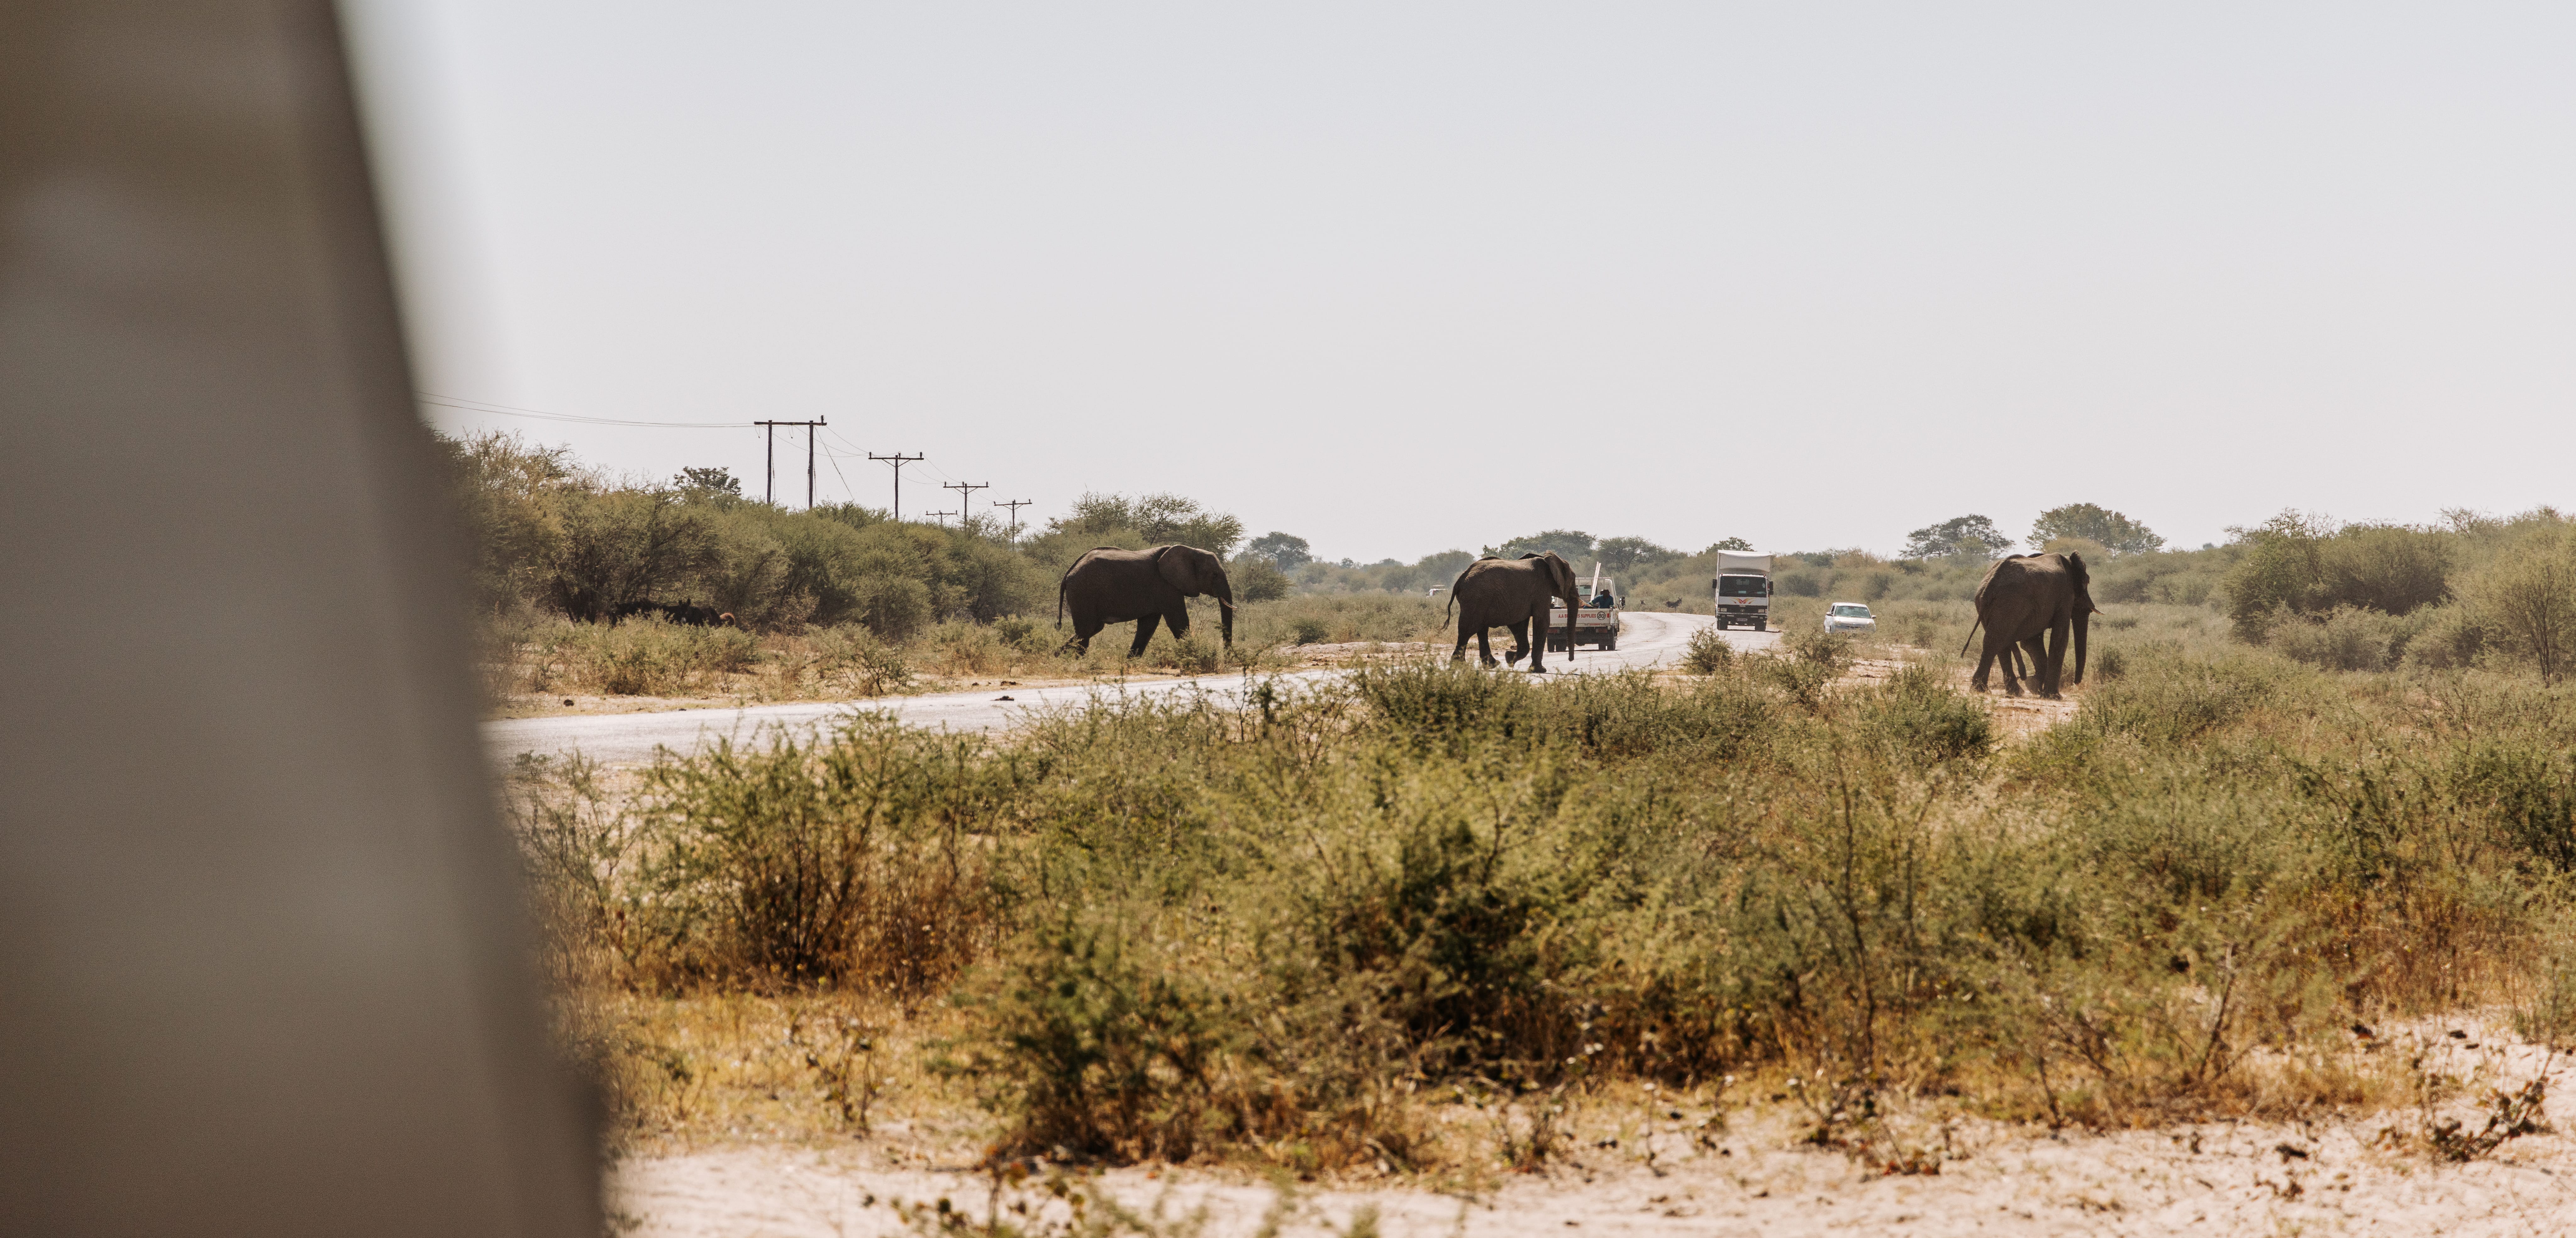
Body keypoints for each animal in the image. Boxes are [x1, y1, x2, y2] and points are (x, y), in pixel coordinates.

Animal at [1055, 544, 1236, 657]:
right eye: (1215, 575)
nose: (1227, 658)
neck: (1191, 550)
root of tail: (1068, 573)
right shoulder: (1166, 585)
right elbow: (1179, 622)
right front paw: (1195, 657)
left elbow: (1148, 626)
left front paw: (1131, 662)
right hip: (1083, 593)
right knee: (1087, 629)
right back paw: (1079, 663)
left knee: (1093, 628)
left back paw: (1057, 656)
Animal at [1445, 552, 1582, 672]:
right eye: (1574, 579)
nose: (1571, 660)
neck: (1551, 561)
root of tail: (1460, 580)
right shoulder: (1542, 590)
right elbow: (1542, 622)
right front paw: (1539, 670)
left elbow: (1519, 626)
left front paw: (1509, 659)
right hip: (1475, 599)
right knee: (1468, 630)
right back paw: (1461, 666)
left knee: (1480, 630)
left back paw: (1490, 665)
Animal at [1961, 552, 2096, 698]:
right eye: (2087, 582)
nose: (2076, 683)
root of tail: (1990, 584)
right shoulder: (2065, 597)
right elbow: (2060, 638)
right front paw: (2052, 696)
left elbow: (2032, 643)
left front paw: (2034, 686)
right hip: (2011, 602)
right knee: (1997, 640)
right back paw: (1984, 690)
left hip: (1989, 604)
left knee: (1998, 641)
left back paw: (2007, 691)